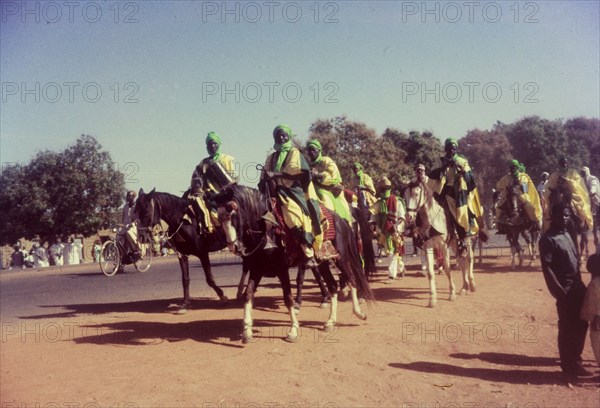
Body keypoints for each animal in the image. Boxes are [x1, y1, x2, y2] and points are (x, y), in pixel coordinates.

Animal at [213, 185, 372, 344]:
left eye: (233, 214)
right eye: (219, 218)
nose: (233, 246)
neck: (267, 230)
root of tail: (341, 219)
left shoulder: (282, 270)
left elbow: (288, 298)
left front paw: (293, 330)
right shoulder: (257, 269)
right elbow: (248, 294)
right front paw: (247, 331)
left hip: (340, 258)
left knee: (352, 280)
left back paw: (359, 312)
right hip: (322, 262)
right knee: (333, 286)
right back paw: (330, 322)